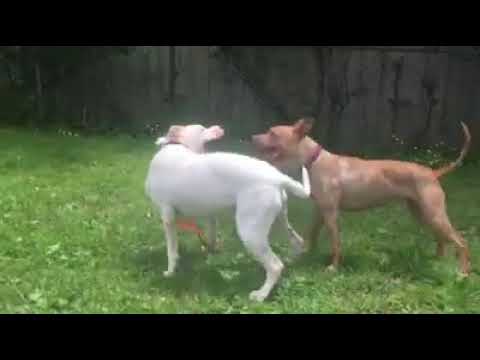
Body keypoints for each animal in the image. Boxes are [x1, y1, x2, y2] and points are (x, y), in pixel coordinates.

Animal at [145, 124, 312, 300]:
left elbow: (171, 251)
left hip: (251, 233)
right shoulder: (210, 217)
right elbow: (211, 237)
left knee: (275, 266)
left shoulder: (167, 217)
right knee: (297, 242)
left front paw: (170, 272)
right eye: (201, 129)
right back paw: (292, 262)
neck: (176, 145)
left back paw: (260, 295)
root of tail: (277, 177)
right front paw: (210, 254)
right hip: (279, 222)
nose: (219, 127)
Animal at [253, 118, 470, 276]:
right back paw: (437, 260)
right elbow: (311, 234)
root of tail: (432, 172)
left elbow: (336, 243)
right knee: (441, 238)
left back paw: (463, 272)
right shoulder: (320, 212)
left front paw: (333, 268)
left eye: (272, 133)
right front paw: (303, 255)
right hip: (422, 213)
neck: (315, 160)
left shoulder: (331, 215)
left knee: (461, 241)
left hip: (434, 214)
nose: (252, 137)